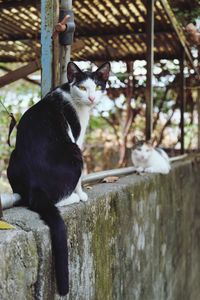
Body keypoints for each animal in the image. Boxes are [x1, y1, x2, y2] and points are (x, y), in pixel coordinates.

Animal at [6, 61, 110, 296]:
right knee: (57, 198)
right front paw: (82, 194)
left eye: (98, 87)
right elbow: (80, 179)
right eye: (83, 87)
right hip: (74, 151)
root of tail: (34, 184)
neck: (69, 94)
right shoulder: (76, 137)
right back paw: (73, 198)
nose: (92, 98)